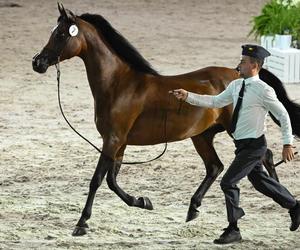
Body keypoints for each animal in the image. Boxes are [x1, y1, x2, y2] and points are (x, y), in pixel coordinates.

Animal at [31, 3, 298, 235]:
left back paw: (287, 207)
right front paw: (143, 201)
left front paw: (81, 223)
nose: (37, 62)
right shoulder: (119, 143)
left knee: (263, 155)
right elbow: (112, 181)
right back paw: (193, 208)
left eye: (61, 34)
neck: (118, 84)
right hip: (202, 136)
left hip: (236, 130)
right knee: (216, 166)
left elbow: (97, 180)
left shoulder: (112, 140)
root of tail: (239, 74)